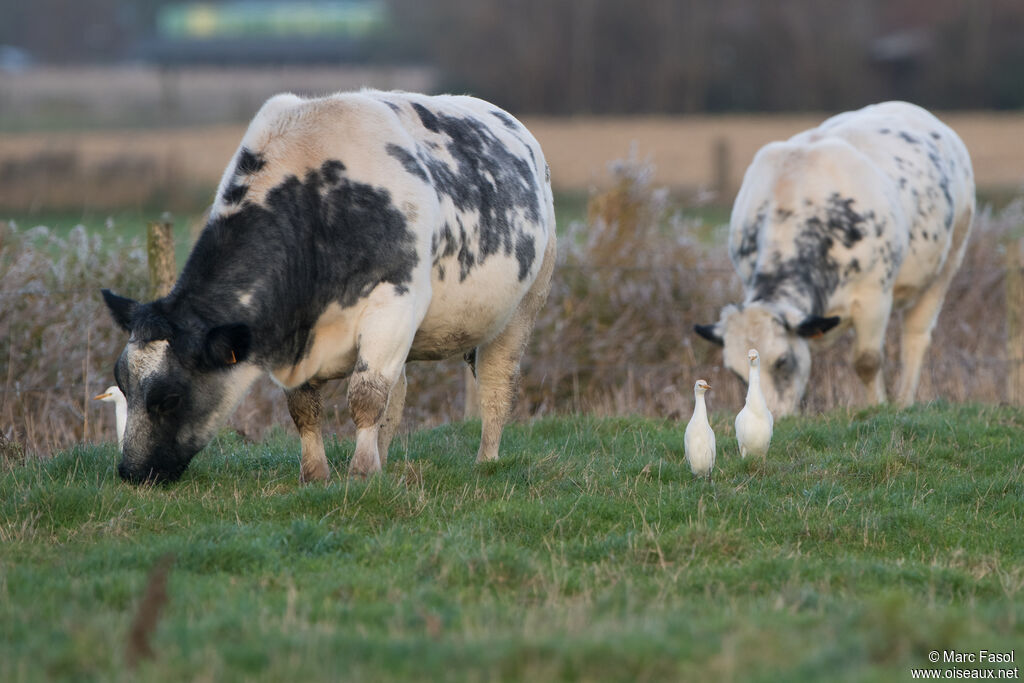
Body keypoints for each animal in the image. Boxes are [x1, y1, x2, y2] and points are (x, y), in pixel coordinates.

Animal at [99, 90, 557, 483]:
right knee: (399, 394)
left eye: (169, 398)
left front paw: (360, 473)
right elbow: (305, 407)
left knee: (497, 385)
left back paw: (486, 461)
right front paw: (316, 474)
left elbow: (366, 397)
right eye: (122, 384)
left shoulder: (391, 306)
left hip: (524, 305)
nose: (131, 472)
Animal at [696, 101, 974, 417]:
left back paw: (904, 400)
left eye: (781, 361)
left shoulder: (875, 296)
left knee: (916, 337)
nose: (770, 417)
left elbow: (867, 360)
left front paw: (878, 405)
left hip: (947, 263)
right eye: (735, 373)